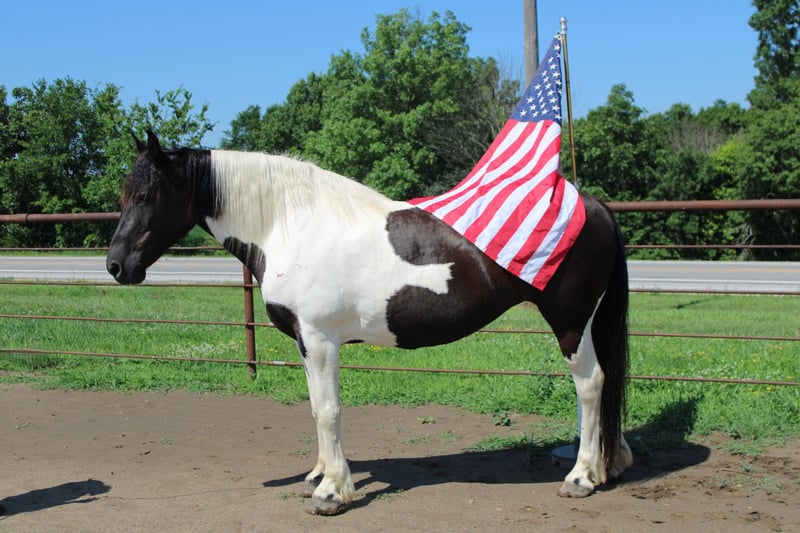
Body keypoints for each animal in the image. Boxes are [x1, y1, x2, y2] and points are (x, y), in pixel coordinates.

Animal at [106, 130, 632, 515]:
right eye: (124, 193)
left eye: (148, 194)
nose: (116, 266)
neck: (290, 226)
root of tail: (595, 207)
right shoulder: (304, 342)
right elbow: (315, 407)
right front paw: (317, 476)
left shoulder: (320, 340)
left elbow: (329, 410)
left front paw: (332, 492)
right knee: (603, 383)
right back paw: (609, 464)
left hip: (570, 321)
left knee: (591, 384)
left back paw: (581, 477)